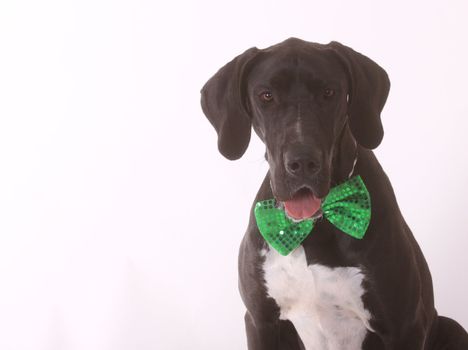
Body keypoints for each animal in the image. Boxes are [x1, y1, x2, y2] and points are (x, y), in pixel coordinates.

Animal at [199, 37, 466, 348]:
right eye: (266, 95)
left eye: (328, 92)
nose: (302, 162)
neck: (313, 226)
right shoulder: (260, 321)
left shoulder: (404, 326)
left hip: (452, 327)